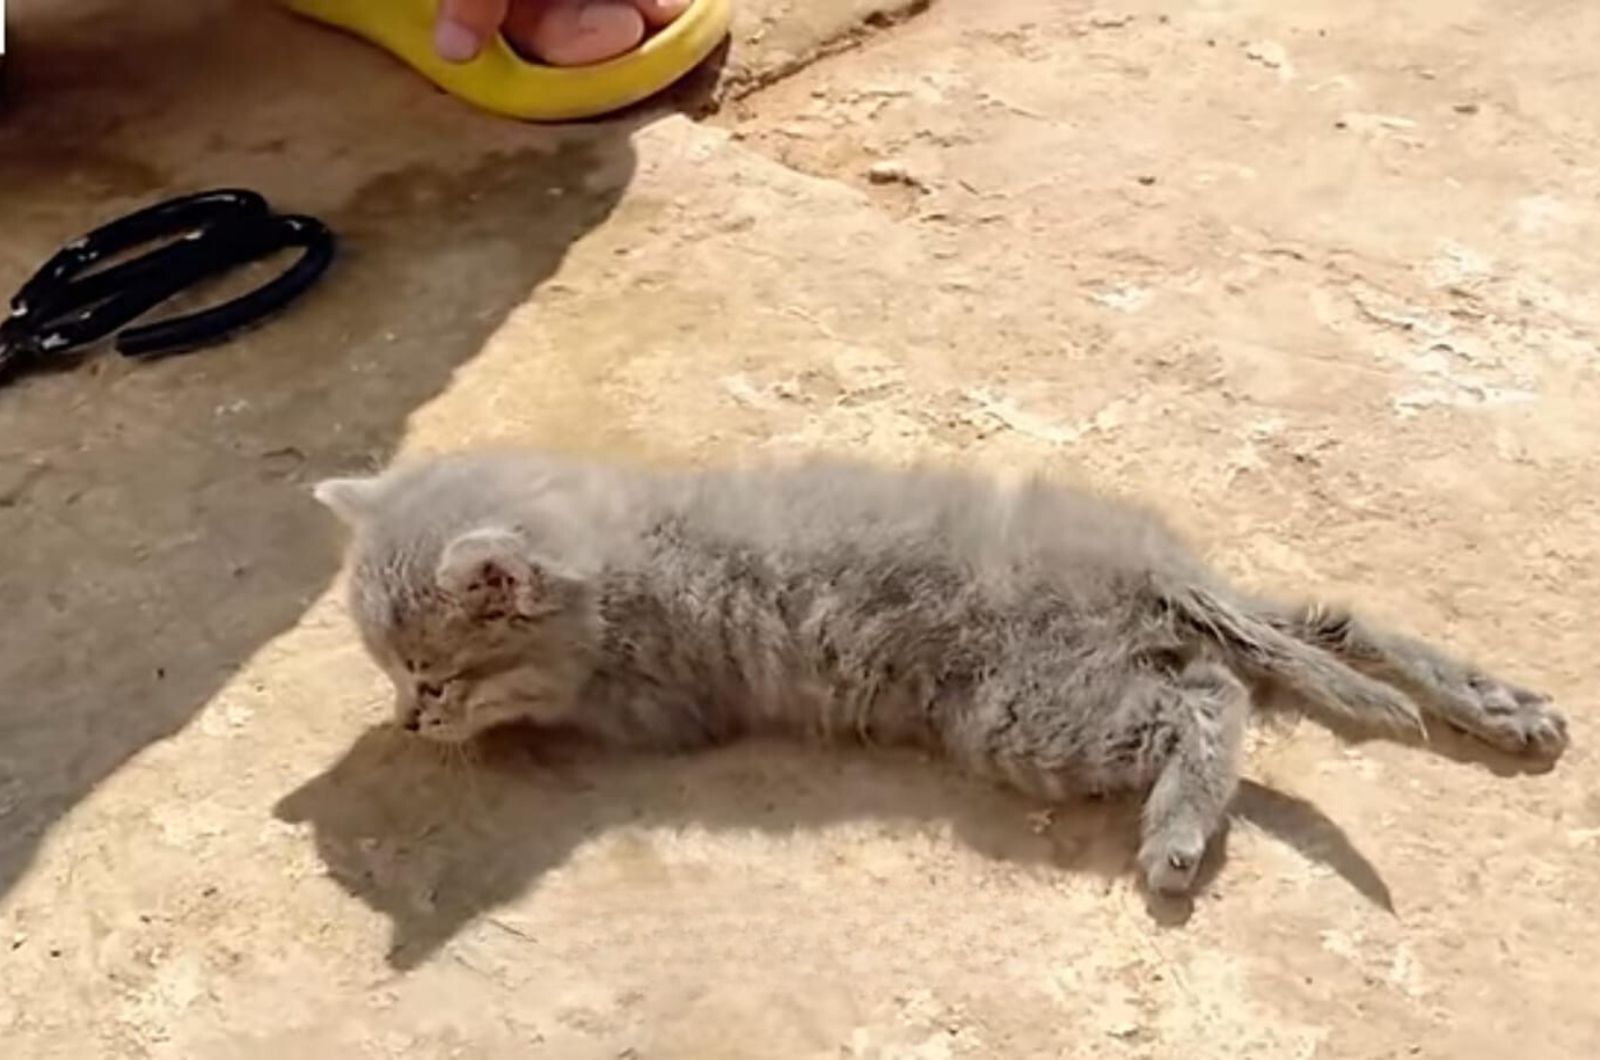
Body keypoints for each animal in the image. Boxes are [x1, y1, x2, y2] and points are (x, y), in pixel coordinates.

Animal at [315, 448, 1574, 896]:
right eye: (398, 673)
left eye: (431, 673)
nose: (410, 719)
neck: (618, 546)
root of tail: (1148, 570)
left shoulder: (651, 699)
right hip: (1141, 660)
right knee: (1320, 627)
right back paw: (1507, 708)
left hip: (1031, 713)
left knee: (1212, 697)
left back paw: (1174, 838)